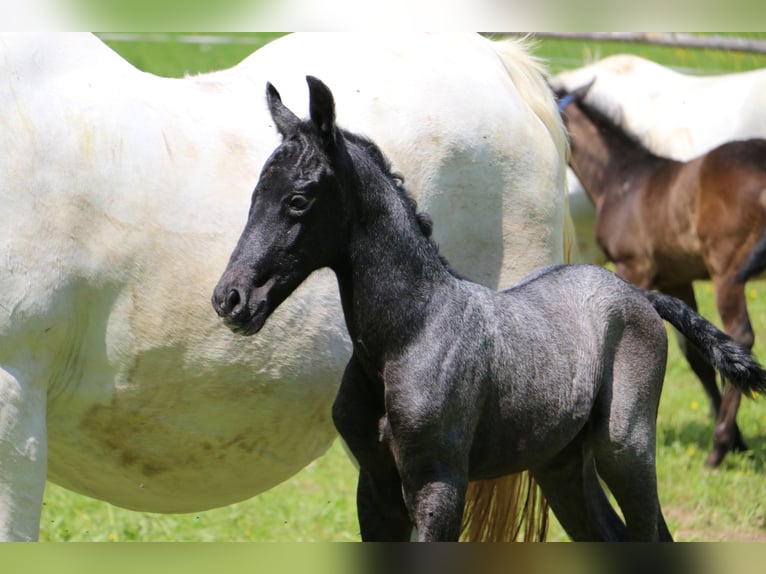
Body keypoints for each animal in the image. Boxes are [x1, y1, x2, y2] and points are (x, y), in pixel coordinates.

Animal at [560, 86, 766, 472]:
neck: (621, 179)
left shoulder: (633, 267)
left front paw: (728, 441)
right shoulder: (676, 281)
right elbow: (698, 354)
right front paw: (741, 441)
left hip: (726, 272)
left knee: (742, 335)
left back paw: (716, 450)